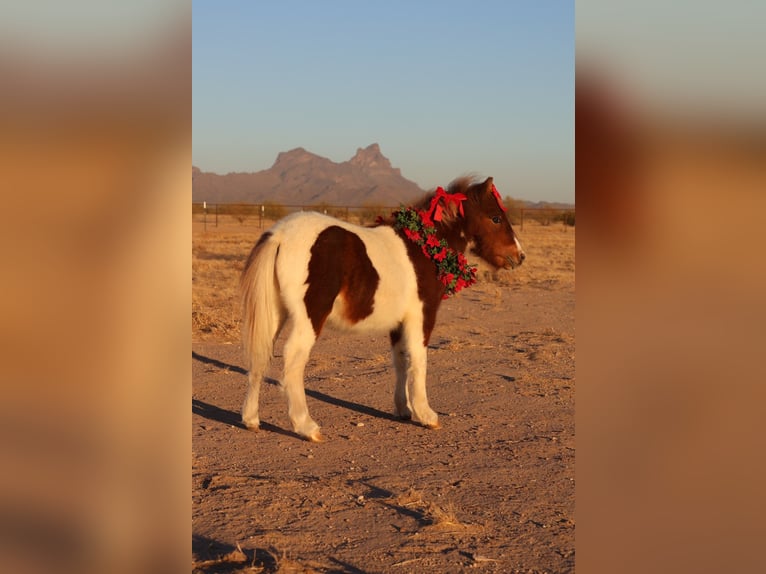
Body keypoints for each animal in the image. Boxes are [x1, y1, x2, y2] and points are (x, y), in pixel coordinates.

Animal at [242, 176, 528, 440]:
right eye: (495, 218)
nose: (520, 256)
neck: (423, 247)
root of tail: (280, 234)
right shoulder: (422, 316)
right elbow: (419, 360)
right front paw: (426, 415)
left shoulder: (398, 323)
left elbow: (401, 360)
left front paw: (404, 410)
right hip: (309, 318)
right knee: (292, 359)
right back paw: (306, 427)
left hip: (276, 314)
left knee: (261, 355)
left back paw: (251, 419)